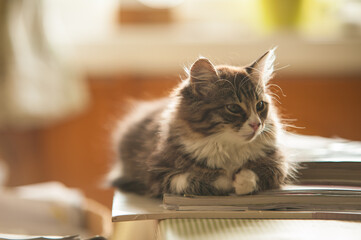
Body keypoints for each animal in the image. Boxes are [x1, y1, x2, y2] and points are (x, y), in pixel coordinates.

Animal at [109, 48, 292, 197]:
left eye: (260, 105)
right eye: (233, 108)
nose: (256, 125)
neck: (228, 145)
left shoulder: (278, 164)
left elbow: (255, 174)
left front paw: (240, 181)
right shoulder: (156, 175)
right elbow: (200, 179)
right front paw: (227, 180)